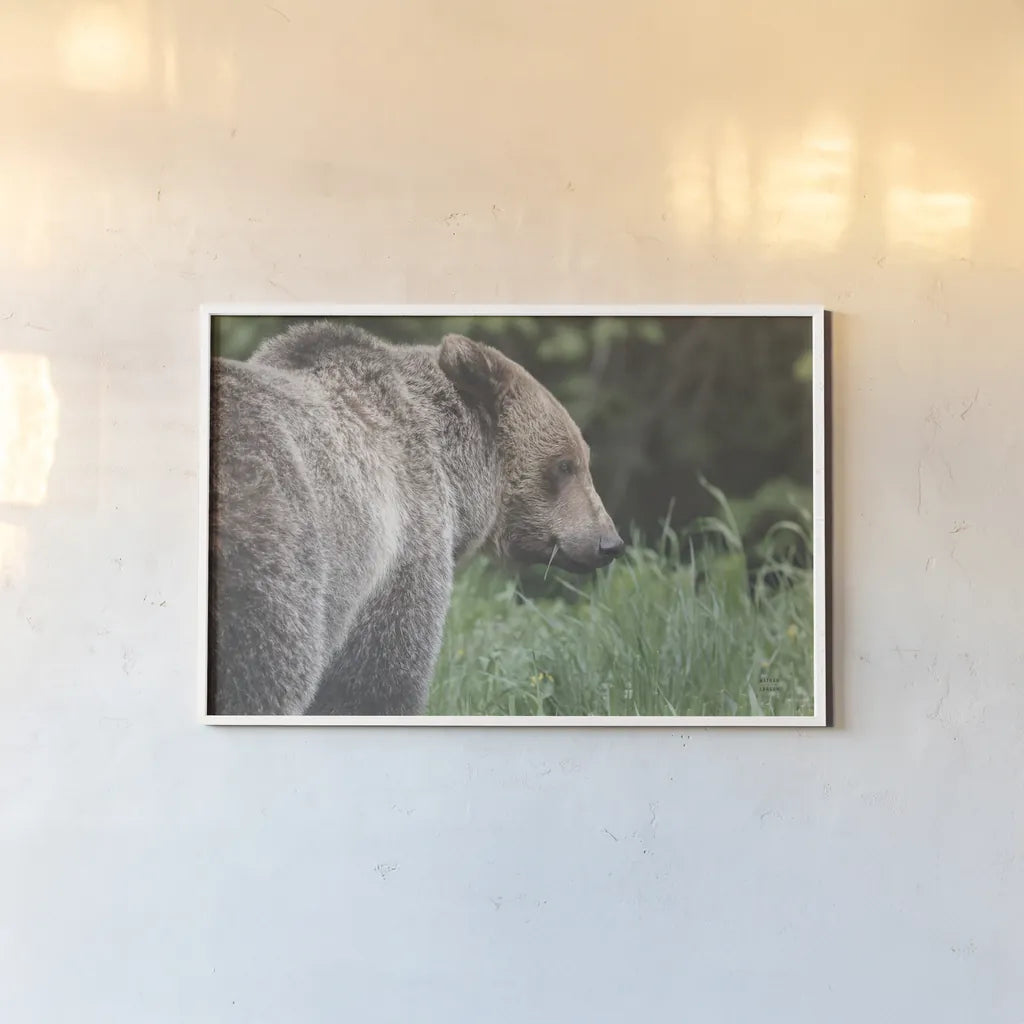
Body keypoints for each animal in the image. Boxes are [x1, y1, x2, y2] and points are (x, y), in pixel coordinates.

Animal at [208, 321, 624, 716]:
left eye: (580, 459)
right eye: (565, 465)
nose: (609, 542)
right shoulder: (402, 548)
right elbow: (378, 677)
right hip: (275, 545)